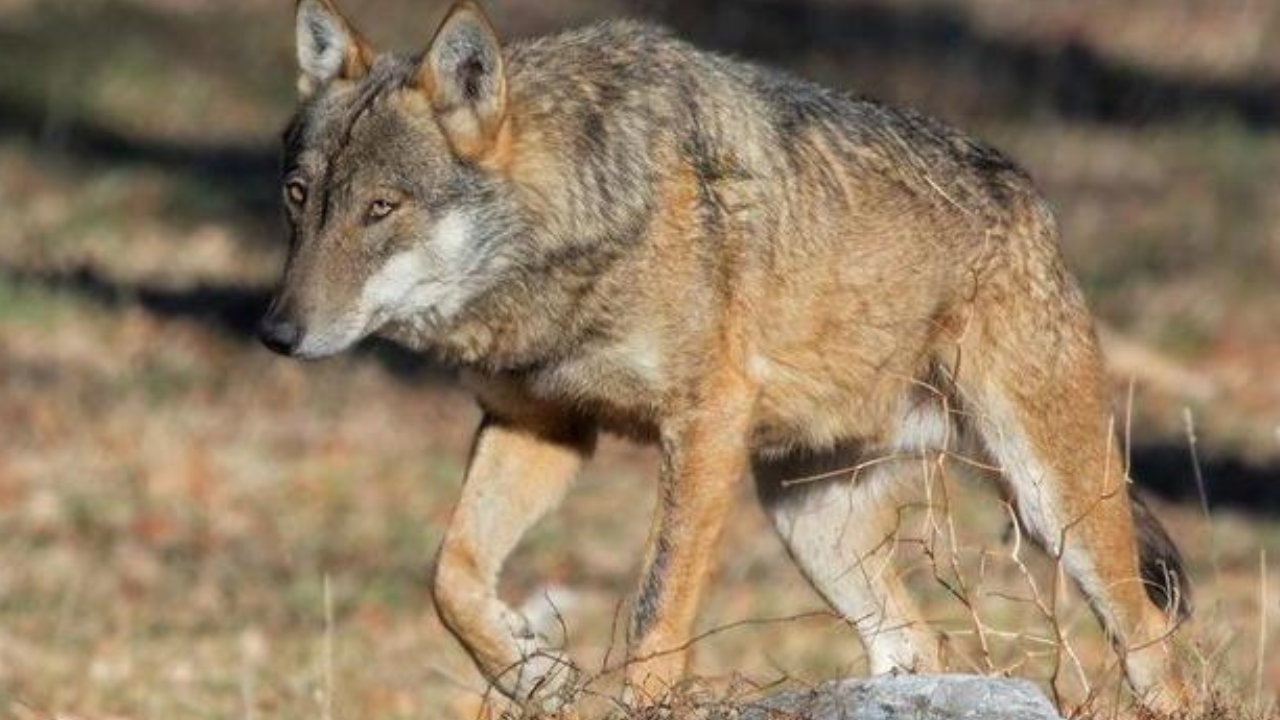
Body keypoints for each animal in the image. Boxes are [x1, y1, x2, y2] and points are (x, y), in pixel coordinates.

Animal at [259, 0, 1192, 712]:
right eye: (299, 198)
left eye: (381, 208)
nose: (275, 334)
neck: (582, 221)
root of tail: (1035, 202)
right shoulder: (541, 425)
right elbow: (449, 575)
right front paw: (535, 672)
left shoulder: (703, 428)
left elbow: (655, 613)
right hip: (812, 526)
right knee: (918, 643)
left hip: (1052, 505)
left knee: (1150, 640)